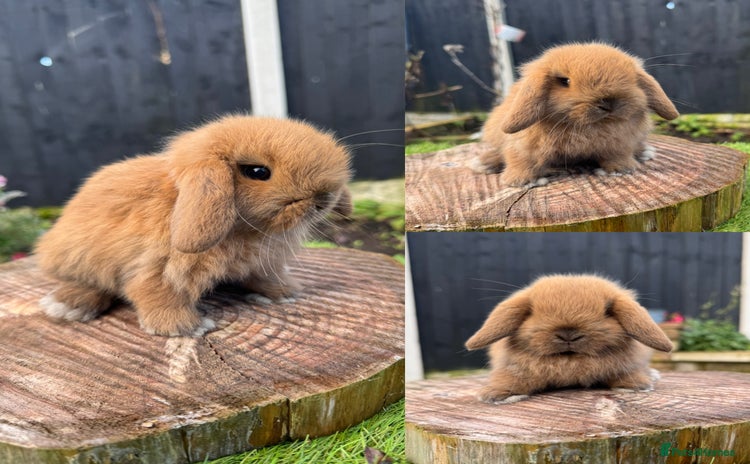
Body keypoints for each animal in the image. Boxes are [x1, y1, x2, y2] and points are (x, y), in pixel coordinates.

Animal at [35, 115, 352, 336]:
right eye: (257, 171)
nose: (324, 199)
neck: (243, 229)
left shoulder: (263, 263)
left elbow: (265, 277)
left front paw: (286, 292)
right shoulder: (159, 269)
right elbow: (157, 294)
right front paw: (184, 328)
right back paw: (66, 306)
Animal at [465, 274, 673, 403]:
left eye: (607, 311)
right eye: (532, 311)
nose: (568, 334)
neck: (569, 363)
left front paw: (635, 385)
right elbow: (511, 378)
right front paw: (496, 395)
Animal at [473, 42, 680, 187]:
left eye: (632, 79)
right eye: (564, 81)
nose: (608, 102)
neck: (588, 128)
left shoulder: (620, 143)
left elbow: (617, 155)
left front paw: (621, 170)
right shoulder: (523, 145)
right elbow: (521, 160)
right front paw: (523, 181)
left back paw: (644, 152)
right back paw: (484, 163)